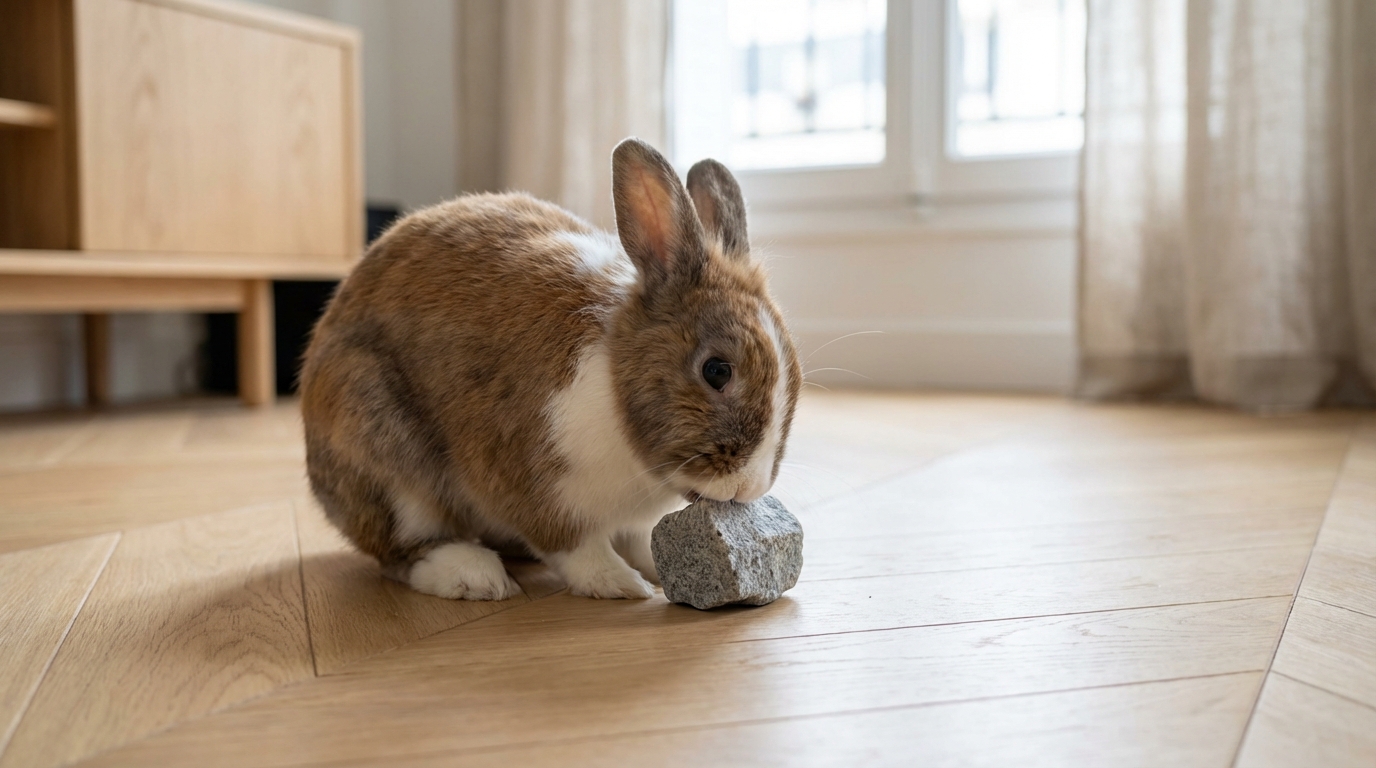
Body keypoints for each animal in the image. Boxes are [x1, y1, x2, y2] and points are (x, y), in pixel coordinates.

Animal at [299, 138, 801, 600]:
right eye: (717, 371)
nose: (747, 487)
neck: (614, 383)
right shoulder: (534, 484)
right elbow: (575, 548)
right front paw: (621, 583)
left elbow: (637, 539)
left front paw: (654, 569)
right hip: (382, 451)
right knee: (401, 551)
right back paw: (475, 576)